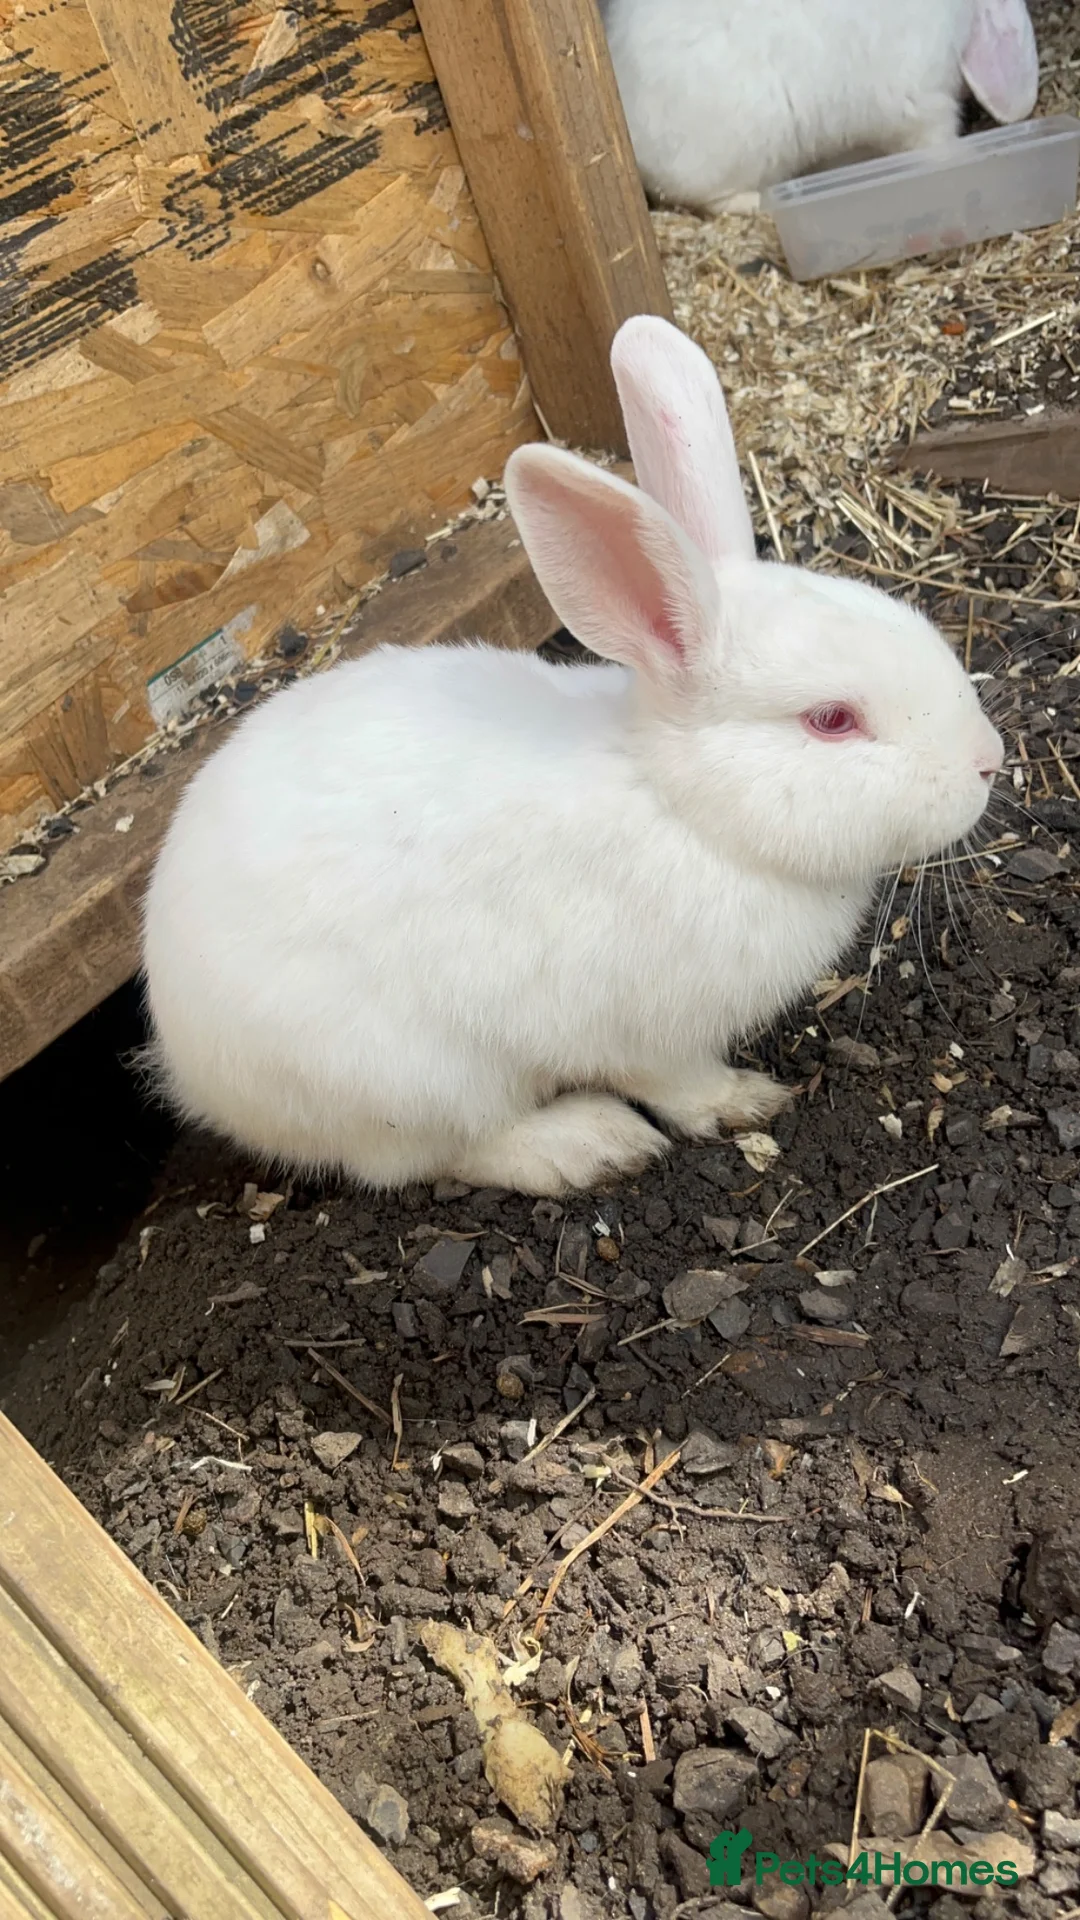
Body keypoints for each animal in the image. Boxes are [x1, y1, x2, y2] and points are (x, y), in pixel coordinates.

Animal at [141, 314, 1003, 1200]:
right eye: (832, 720)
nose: (989, 761)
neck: (686, 811)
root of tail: (190, 1067)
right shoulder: (646, 1034)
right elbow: (678, 1085)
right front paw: (743, 1103)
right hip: (408, 1080)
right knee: (438, 1153)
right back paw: (589, 1143)